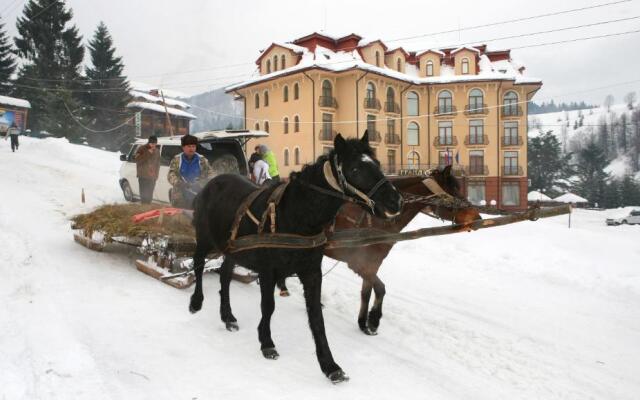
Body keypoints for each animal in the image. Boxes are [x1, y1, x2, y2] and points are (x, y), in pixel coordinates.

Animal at [188, 132, 402, 384]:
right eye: (356, 168)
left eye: (377, 163)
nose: (395, 201)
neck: (297, 215)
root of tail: (212, 182)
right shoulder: (268, 271)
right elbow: (268, 306)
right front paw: (266, 342)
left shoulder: (312, 273)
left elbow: (317, 318)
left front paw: (329, 364)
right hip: (205, 239)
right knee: (198, 264)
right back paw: (196, 301)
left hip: (232, 249)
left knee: (224, 275)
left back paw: (228, 316)